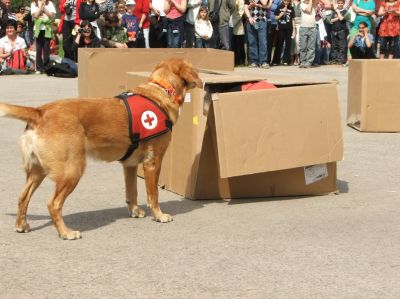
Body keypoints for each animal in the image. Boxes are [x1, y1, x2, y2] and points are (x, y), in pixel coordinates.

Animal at [0, 59, 200, 241]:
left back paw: (21, 225)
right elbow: (153, 195)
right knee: (53, 204)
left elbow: (132, 191)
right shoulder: (153, 162)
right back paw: (66, 233)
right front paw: (159, 215)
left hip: (37, 172)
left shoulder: (130, 165)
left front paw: (134, 211)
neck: (161, 90)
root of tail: (39, 112)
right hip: (72, 170)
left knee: (23, 197)